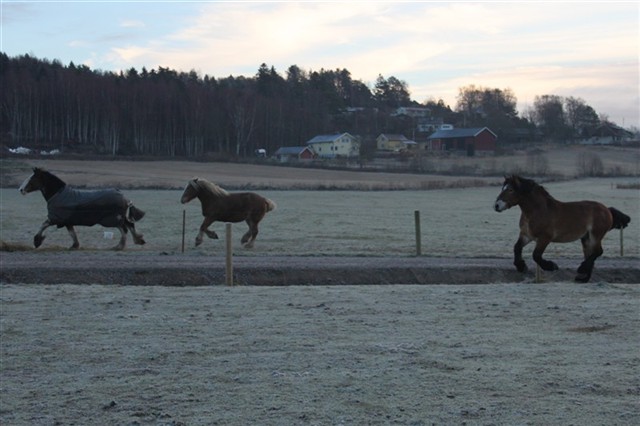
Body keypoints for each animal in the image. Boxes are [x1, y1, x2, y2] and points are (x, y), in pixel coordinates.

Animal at [19, 167, 147, 250]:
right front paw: (74, 245)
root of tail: (124, 197)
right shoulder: (67, 221)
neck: (58, 194)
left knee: (124, 228)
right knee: (129, 225)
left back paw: (119, 246)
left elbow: (43, 225)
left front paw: (37, 241)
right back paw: (137, 240)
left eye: (31, 179)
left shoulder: (55, 218)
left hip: (111, 219)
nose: (21, 190)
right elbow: (72, 233)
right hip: (116, 218)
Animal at [496, 175, 632, 282]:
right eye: (503, 188)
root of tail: (607, 210)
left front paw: (551, 266)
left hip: (595, 235)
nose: (496, 206)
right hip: (586, 238)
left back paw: (581, 270)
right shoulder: (526, 235)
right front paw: (521, 267)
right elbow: (517, 248)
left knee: (598, 252)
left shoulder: (544, 238)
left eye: (510, 190)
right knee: (590, 255)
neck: (538, 210)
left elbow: (536, 255)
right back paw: (582, 278)